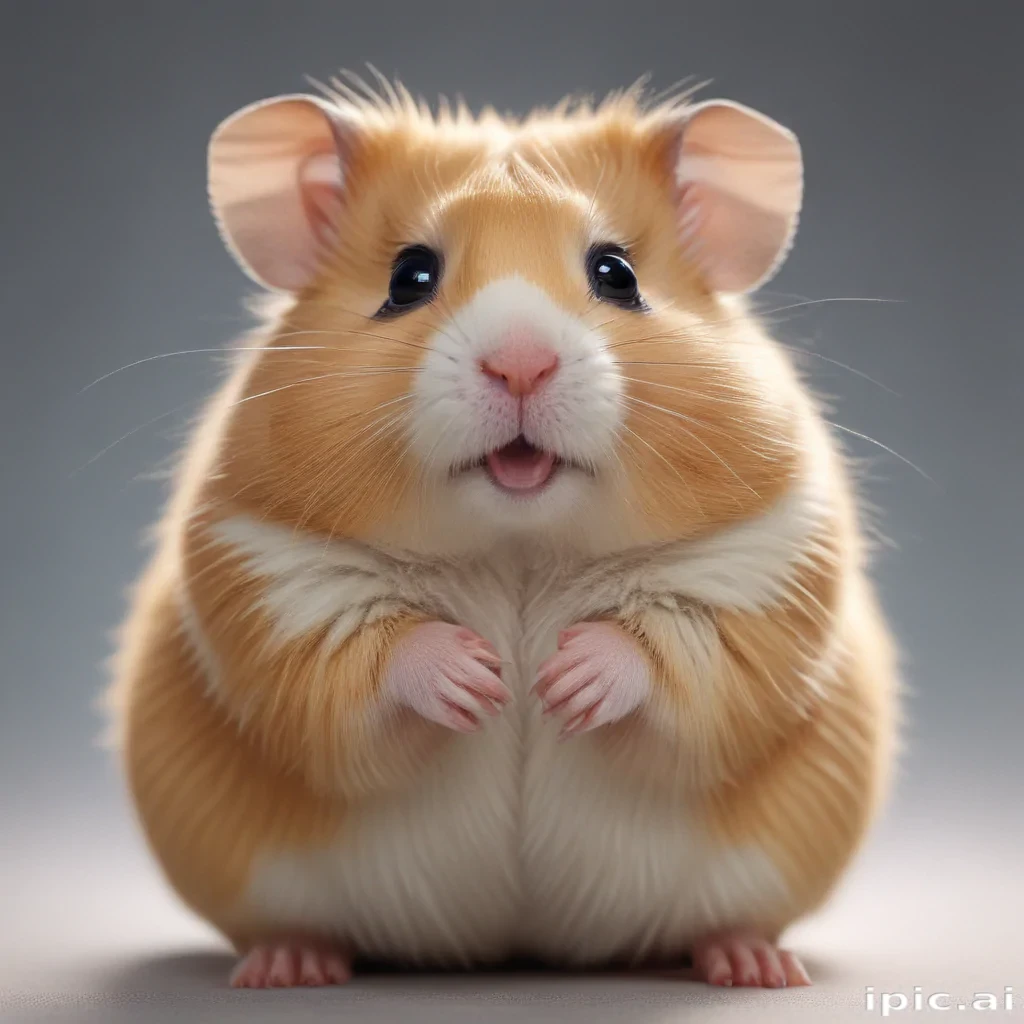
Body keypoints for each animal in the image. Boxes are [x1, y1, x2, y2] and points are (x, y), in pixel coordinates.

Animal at [108, 79, 898, 990]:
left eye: (617, 274)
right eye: (409, 276)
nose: (520, 363)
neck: (519, 547)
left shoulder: (769, 566)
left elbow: (682, 646)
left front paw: (562, 681)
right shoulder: (265, 575)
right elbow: (360, 652)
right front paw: (480, 679)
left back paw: (754, 965)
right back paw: (288, 967)